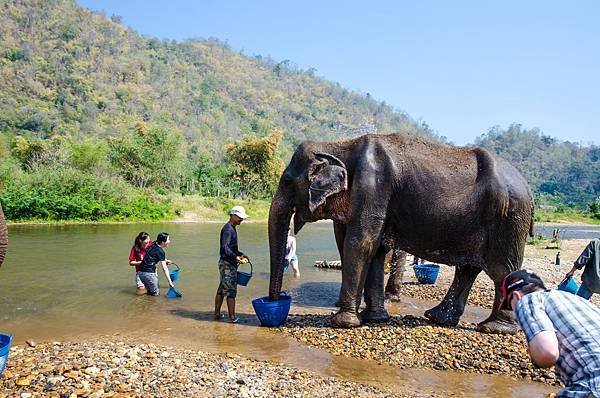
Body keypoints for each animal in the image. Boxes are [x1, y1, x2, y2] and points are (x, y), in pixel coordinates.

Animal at [270, 134, 532, 332]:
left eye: (287, 181)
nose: (274, 301)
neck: (340, 145)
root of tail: (527, 187)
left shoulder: (373, 187)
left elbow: (361, 243)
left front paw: (342, 322)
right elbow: (376, 250)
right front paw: (374, 319)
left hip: (508, 218)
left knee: (501, 269)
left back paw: (493, 328)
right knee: (468, 268)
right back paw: (438, 318)